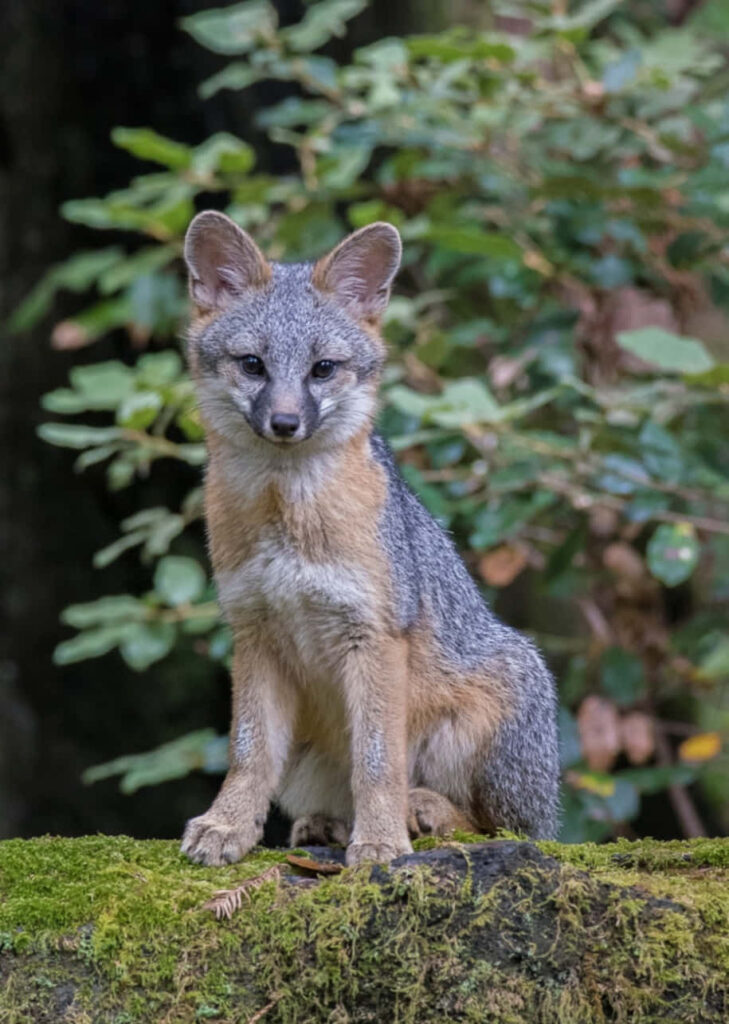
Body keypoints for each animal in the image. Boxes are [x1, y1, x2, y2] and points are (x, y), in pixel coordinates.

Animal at [180, 211, 559, 867]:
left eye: (322, 369)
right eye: (253, 365)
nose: (285, 422)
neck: (290, 521)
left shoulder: (375, 635)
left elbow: (378, 760)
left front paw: (381, 841)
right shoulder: (253, 633)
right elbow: (248, 753)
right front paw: (228, 825)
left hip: (503, 699)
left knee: (506, 829)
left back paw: (422, 812)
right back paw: (330, 825)